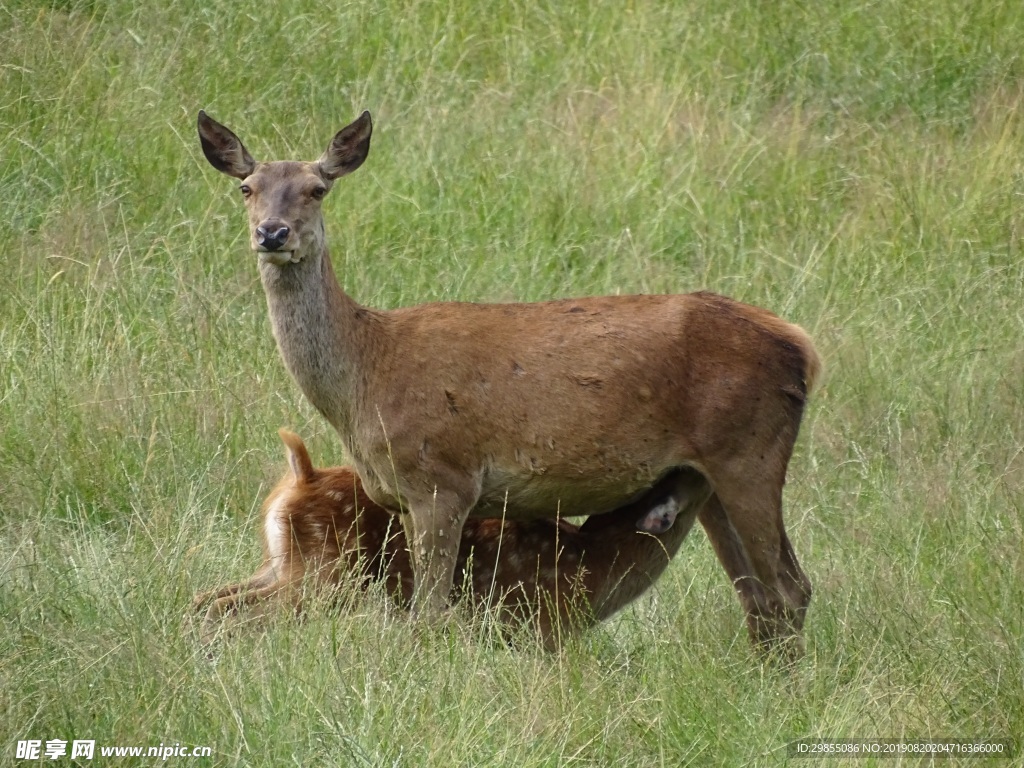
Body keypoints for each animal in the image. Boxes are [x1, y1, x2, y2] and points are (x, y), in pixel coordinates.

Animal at [193, 430, 712, 647]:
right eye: (684, 476)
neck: (594, 565)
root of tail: (301, 474)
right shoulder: (540, 627)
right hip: (325, 577)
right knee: (230, 608)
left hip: (281, 563)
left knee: (207, 599)